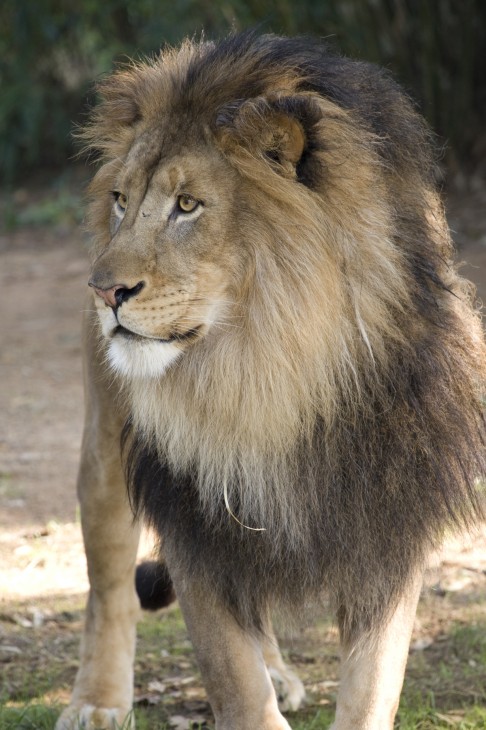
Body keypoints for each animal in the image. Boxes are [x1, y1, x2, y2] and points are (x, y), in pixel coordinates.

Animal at [55, 31, 484, 724]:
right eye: (121, 201)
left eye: (187, 205)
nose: (102, 291)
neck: (267, 373)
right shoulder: (190, 510)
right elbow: (234, 677)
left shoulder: (387, 509)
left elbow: (371, 687)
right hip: (105, 451)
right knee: (110, 577)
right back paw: (97, 700)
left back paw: (279, 671)